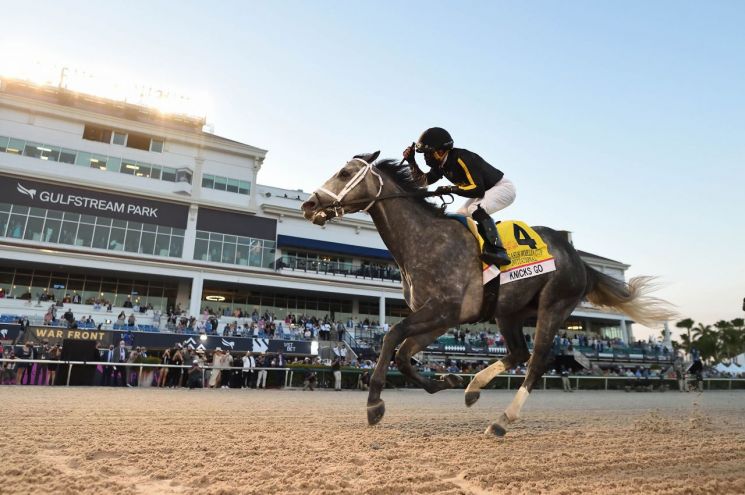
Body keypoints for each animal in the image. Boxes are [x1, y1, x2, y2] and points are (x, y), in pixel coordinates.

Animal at [300, 152, 676, 438]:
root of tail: (580, 259)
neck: (423, 240)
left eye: (345, 173)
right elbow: (404, 355)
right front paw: (449, 379)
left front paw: (374, 403)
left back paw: (502, 421)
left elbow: (392, 336)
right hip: (509, 312)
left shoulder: (442, 309)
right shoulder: (443, 317)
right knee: (518, 352)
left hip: (554, 305)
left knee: (537, 361)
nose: (309, 203)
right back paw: (473, 388)